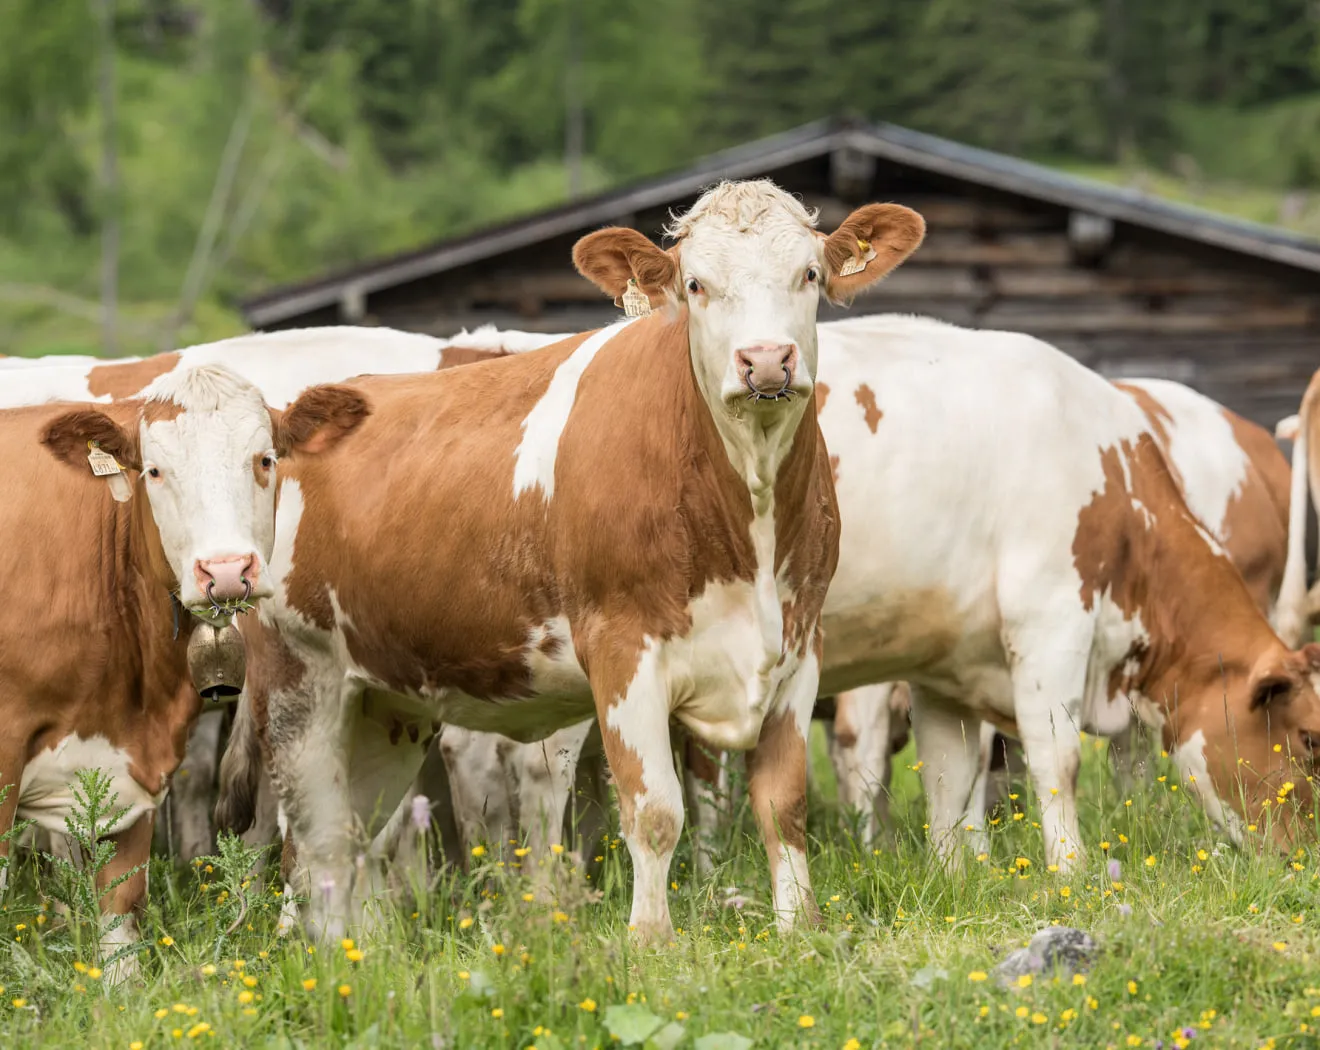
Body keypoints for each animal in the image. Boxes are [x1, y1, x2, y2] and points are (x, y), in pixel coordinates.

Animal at [212, 179, 926, 943]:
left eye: (810, 274)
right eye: (696, 284)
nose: (766, 361)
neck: (746, 519)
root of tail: (291, 422)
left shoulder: (798, 645)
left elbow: (782, 804)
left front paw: (800, 929)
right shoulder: (622, 650)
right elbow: (654, 809)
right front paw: (651, 938)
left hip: (386, 701)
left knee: (355, 836)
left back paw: (362, 950)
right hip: (300, 682)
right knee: (310, 840)